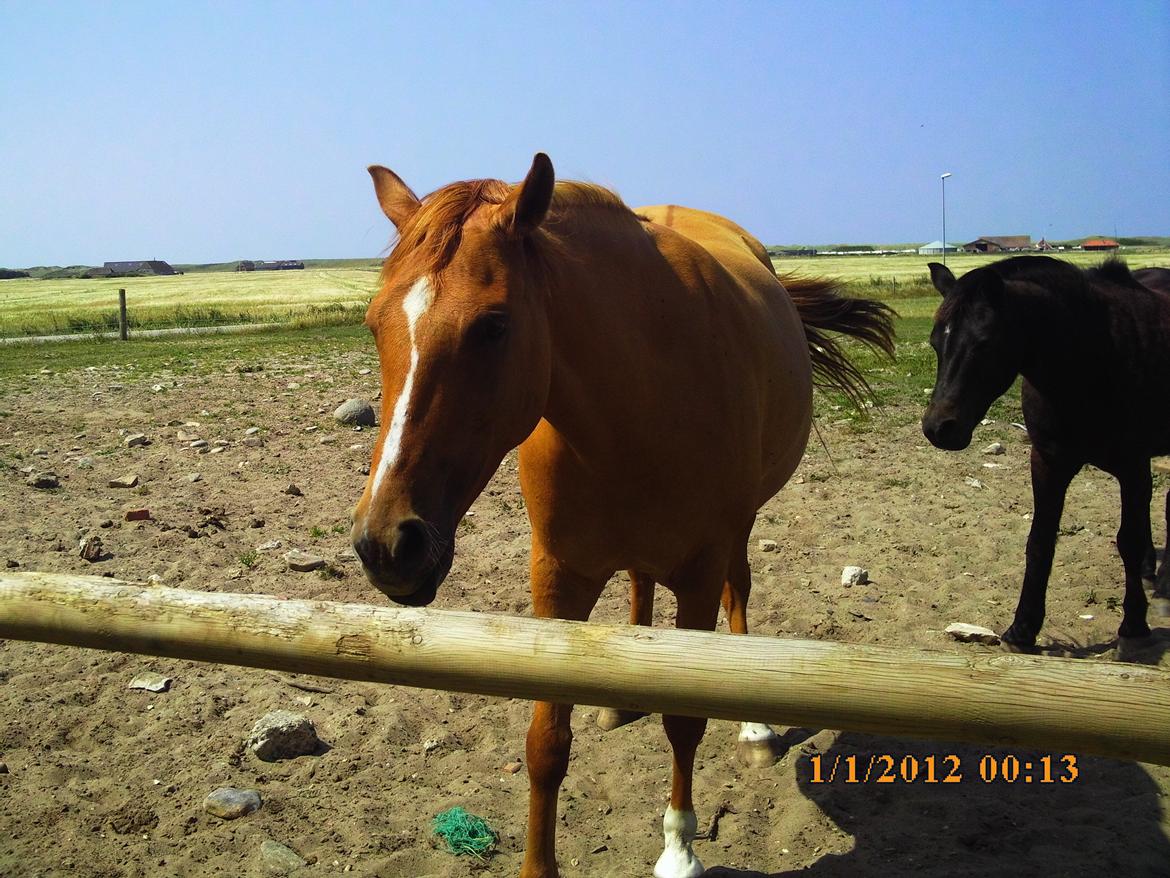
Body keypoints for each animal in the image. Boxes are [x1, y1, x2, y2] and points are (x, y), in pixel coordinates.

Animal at [348, 154, 893, 875]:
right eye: (374, 322)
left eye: (494, 325)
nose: (387, 544)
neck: (638, 393)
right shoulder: (556, 575)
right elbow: (546, 740)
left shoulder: (698, 573)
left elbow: (684, 722)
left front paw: (679, 851)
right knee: (638, 588)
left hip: (738, 532)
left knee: (739, 590)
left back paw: (754, 730)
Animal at [921, 257, 1170, 650]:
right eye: (935, 343)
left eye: (984, 343)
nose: (938, 428)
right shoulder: (1049, 462)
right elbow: (1039, 542)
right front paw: (1022, 628)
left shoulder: (1133, 465)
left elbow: (1127, 540)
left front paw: (1133, 624)